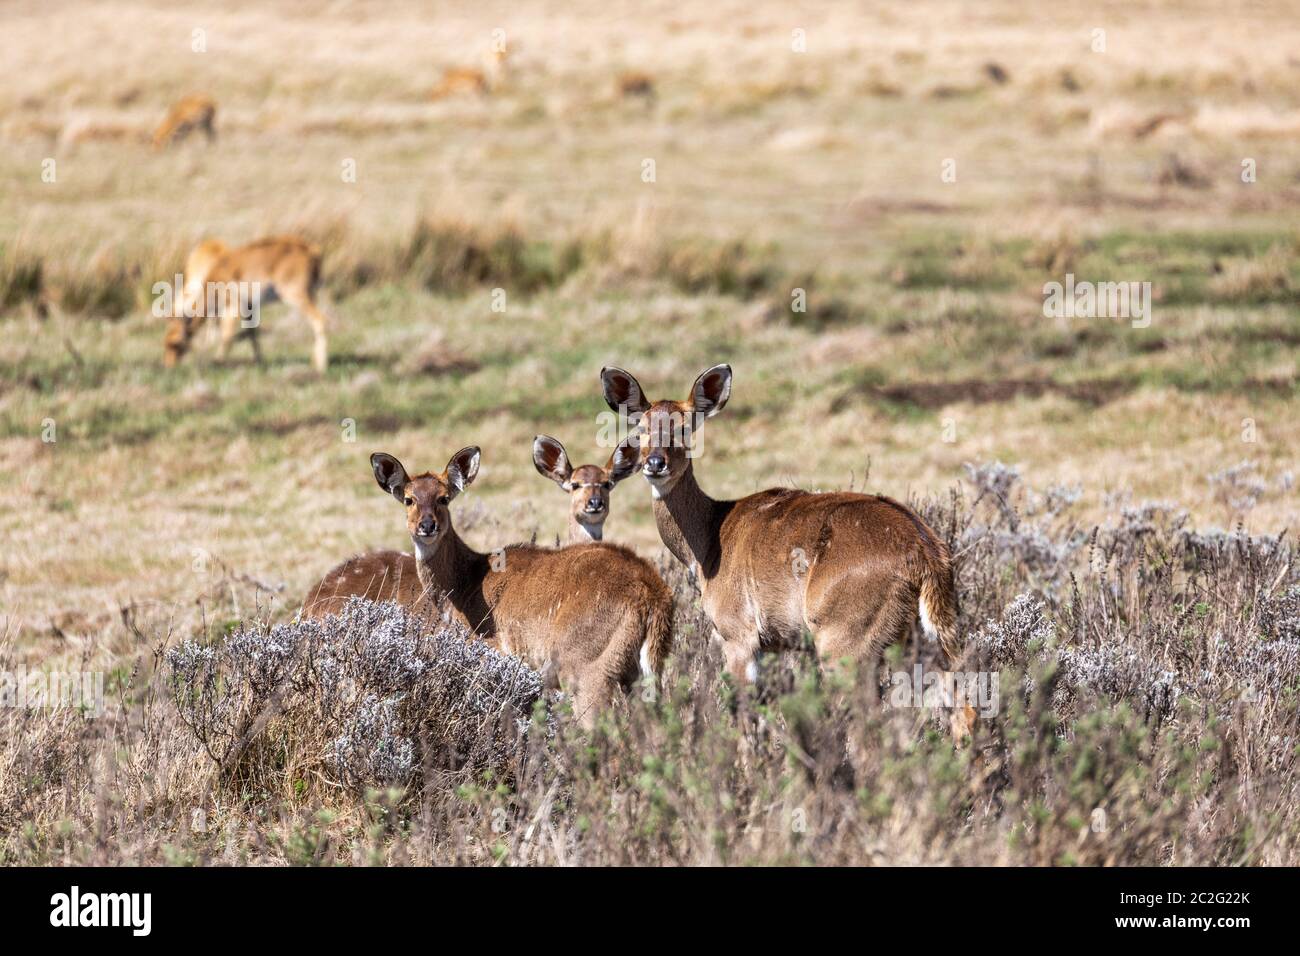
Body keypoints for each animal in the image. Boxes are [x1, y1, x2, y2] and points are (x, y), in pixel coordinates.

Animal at [162, 236, 332, 374]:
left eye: (175, 344)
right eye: (165, 343)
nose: (168, 365)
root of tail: (311, 251)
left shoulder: (233, 308)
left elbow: (227, 336)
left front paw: (217, 361)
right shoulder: (249, 308)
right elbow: (252, 333)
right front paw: (259, 361)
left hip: (297, 297)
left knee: (320, 320)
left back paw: (321, 367)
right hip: (310, 296)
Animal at [300, 447, 676, 723]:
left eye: (444, 497)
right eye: (408, 498)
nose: (427, 525)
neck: (466, 585)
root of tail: (653, 596)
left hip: (588, 668)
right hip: (643, 673)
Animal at [603, 361, 972, 738]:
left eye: (685, 427)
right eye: (641, 427)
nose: (655, 464)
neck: (712, 537)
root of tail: (925, 554)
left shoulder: (739, 637)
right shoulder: (772, 646)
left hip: (845, 646)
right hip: (928, 642)